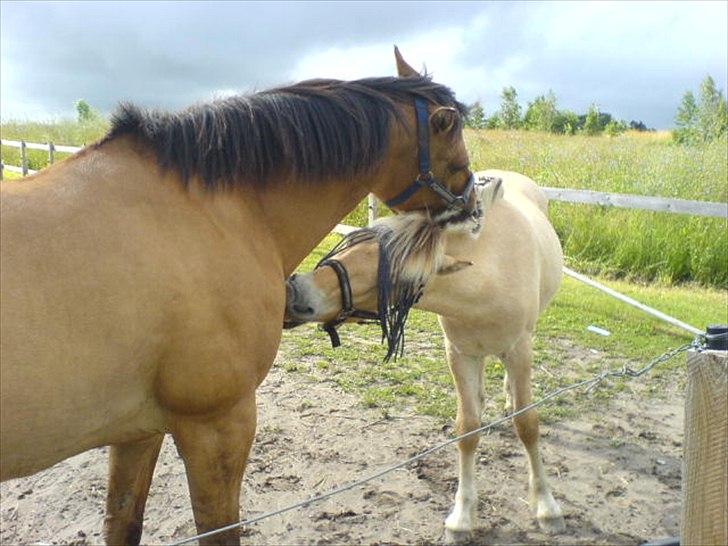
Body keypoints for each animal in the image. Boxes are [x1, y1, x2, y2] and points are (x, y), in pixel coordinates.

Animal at [0, 49, 474, 540]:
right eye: (454, 136)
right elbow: (219, 528)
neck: (214, 213)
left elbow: (123, 520)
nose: (473, 205)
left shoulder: (136, 432)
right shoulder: (218, 425)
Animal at [288, 170, 564, 540]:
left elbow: (528, 424)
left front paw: (547, 507)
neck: (488, 278)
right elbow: (467, 428)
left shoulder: (519, 349)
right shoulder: (460, 354)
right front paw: (462, 518)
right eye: (351, 248)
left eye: (396, 279)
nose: (296, 293)